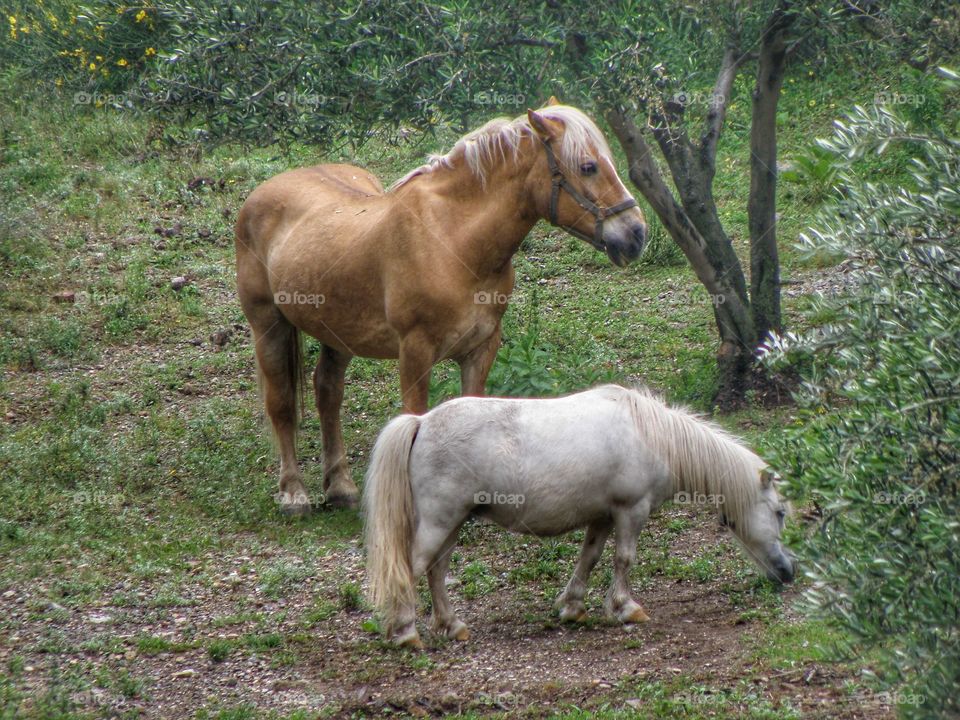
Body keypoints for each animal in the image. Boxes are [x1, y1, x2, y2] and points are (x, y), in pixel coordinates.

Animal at [235, 100, 648, 515]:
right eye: (588, 166)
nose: (636, 233)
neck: (452, 240)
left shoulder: (482, 347)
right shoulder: (415, 352)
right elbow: (414, 419)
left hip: (338, 334)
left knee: (328, 395)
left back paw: (340, 487)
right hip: (268, 325)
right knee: (282, 405)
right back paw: (293, 493)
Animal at [363, 384, 794, 648]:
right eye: (779, 512)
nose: (787, 572)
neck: (651, 435)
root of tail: (421, 422)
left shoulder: (602, 517)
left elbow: (589, 558)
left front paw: (572, 606)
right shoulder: (631, 511)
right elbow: (624, 559)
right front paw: (625, 608)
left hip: (452, 523)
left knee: (436, 571)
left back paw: (452, 626)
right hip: (440, 522)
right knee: (411, 569)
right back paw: (405, 632)